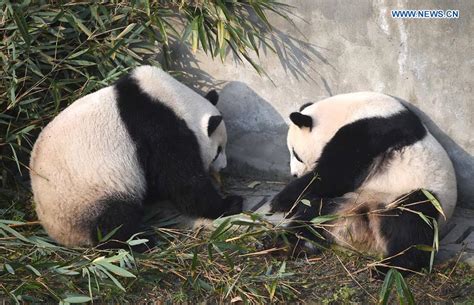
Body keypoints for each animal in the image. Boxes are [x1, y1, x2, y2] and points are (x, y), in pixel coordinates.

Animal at [29, 64, 243, 247]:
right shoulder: (158, 129)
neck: (174, 100)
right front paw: (230, 203)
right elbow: (182, 183)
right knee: (114, 222)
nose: (223, 167)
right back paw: (141, 242)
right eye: (218, 150)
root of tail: (60, 236)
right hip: (90, 195)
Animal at [262, 91, 458, 274]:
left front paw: (280, 200)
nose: (294, 174)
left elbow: (335, 175)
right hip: (344, 203)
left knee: (411, 224)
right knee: (312, 215)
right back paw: (282, 244)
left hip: (415, 194)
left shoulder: (370, 131)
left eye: (296, 154)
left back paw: (390, 267)